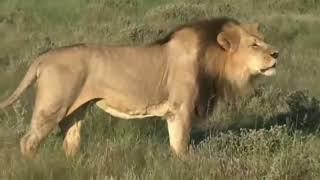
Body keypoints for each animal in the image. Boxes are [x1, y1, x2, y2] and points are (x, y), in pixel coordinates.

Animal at [0, 16, 278, 158]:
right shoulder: (181, 110)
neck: (214, 60)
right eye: (254, 45)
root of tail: (43, 57)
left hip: (75, 111)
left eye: (263, 41)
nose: (277, 54)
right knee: (28, 142)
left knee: (70, 142)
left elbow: (175, 144)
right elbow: (181, 147)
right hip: (52, 107)